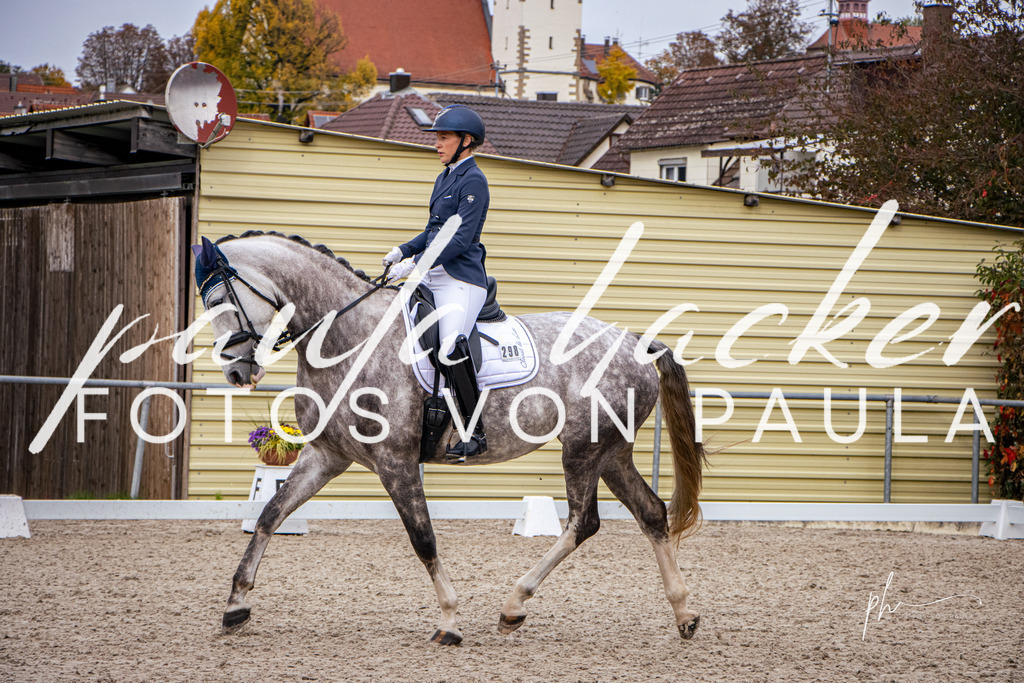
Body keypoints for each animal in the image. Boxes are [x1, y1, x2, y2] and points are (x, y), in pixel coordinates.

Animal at [195, 227, 707, 645]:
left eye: (220, 302)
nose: (237, 373)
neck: (349, 335)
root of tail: (634, 342)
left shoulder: (395, 462)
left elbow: (423, 539)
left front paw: (450, 621)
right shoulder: (326, 455)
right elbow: (270, 514)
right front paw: (236, 604)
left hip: (584, 449)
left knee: (583, 523)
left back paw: (513, 605)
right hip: (612, 452)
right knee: (651, 513)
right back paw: (683, 613)